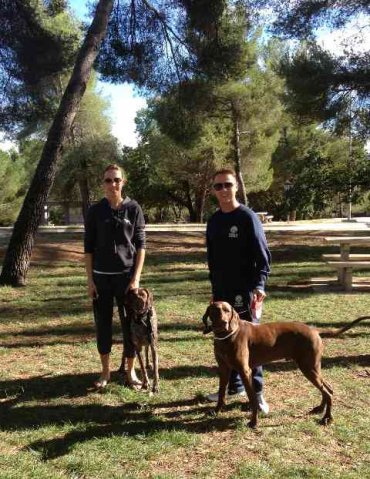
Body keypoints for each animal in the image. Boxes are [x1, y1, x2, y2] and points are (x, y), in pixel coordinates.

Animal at [204, 302, 368, 430]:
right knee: (328, 388)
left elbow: (253, 399)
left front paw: (254, 422)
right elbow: (221, 393)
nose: (223, 323)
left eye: (227, 311)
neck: (226, 337)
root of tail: (314, 329)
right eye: (215, 310)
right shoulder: (224, 369)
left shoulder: (245, 371)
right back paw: (320, 409)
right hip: (313, 367)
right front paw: (216, 411)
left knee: (327, 392)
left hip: (308, 367)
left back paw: (327, 418)